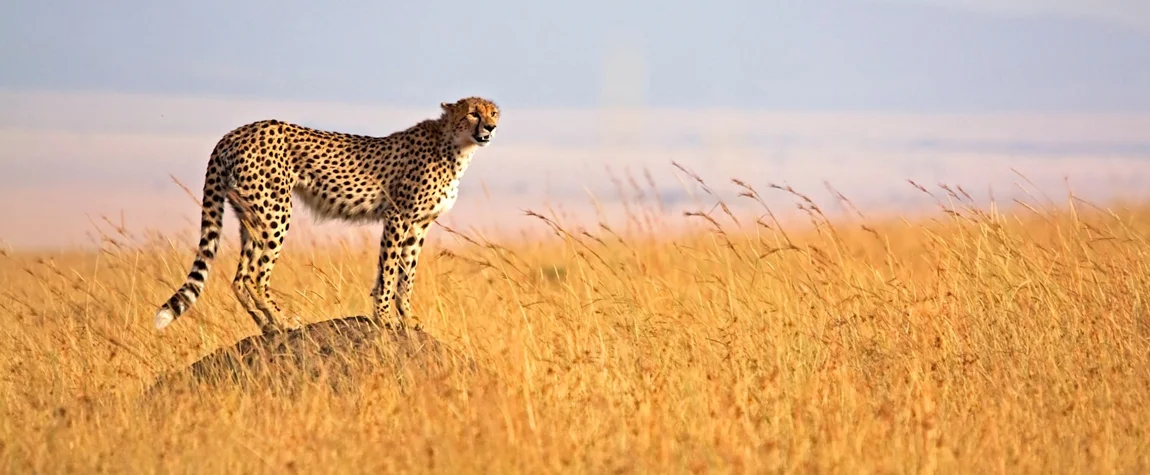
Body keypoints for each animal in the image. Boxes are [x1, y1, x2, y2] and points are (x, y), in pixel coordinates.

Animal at [152, 95, 499, 333]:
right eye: (473, 112)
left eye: (493, 112)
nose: (491, 127)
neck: (455, 146)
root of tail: (236, 132)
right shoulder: (398, 216)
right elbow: (389, 271)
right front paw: (384, 318)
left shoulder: (418, 225)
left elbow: (405, 274)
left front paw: (407, 318)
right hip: (276, 210)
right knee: (256, 275)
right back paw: (284, 321)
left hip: (251, 215)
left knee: (240, 277)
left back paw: (267, 327)